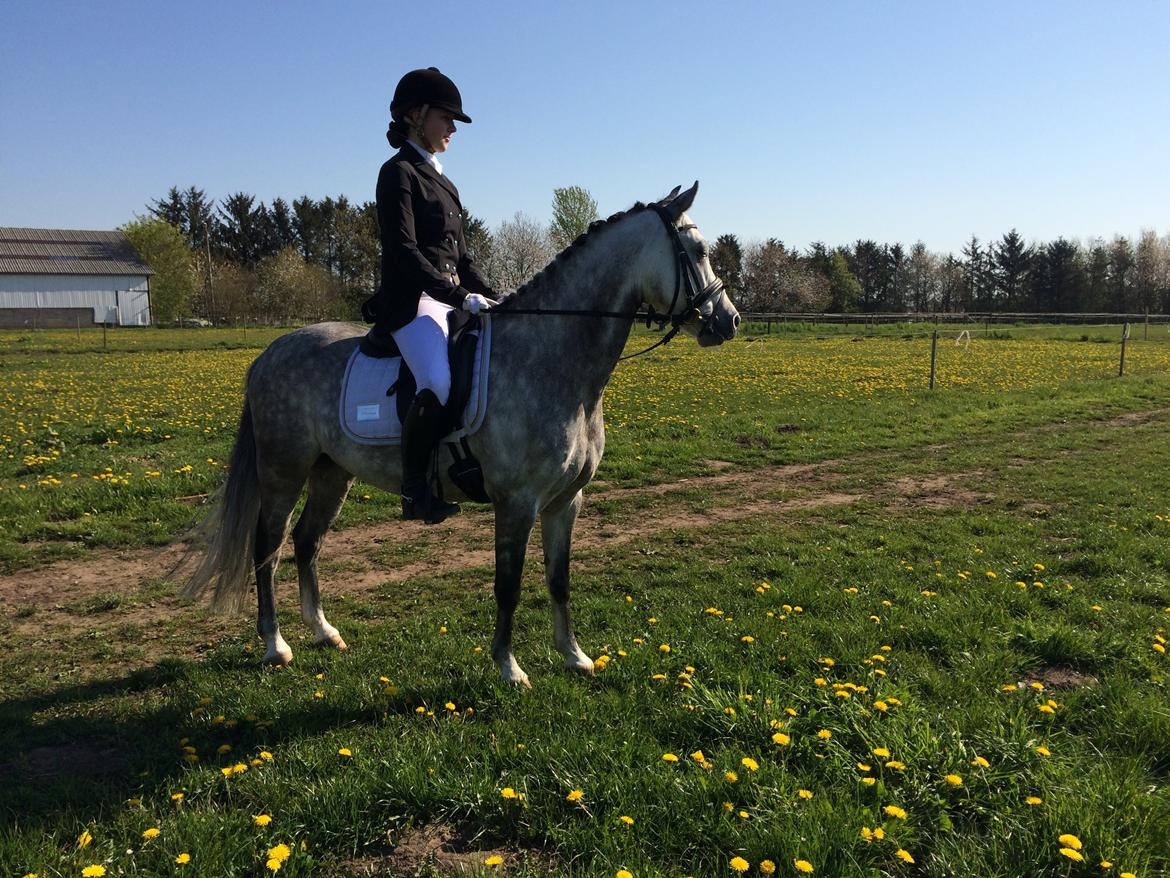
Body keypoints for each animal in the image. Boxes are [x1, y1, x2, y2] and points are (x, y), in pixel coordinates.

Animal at [182, 182, 740, 687]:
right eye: (699, 252)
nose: (729, 322)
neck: (551, 360)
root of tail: (269, 353)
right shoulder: (517, 502)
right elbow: (508, 585)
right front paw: (510, 668)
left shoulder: (566, 501)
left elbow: (559, 579)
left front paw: (575, 657)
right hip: (284, 470)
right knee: (268, 545)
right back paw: (275, 645)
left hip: (332, 473)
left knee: (306, 541)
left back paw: (324, 632)